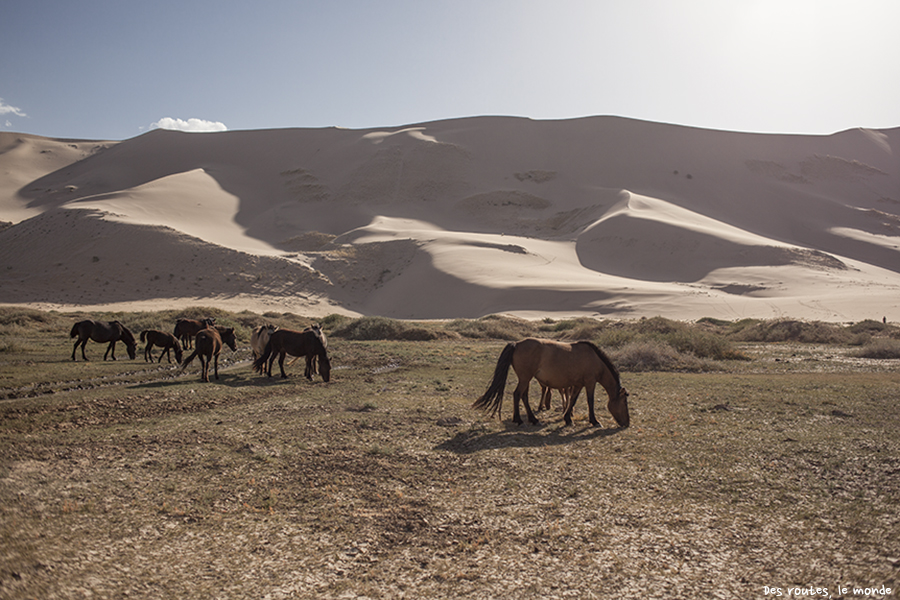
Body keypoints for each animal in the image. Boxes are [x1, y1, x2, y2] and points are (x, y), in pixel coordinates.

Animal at [474, 338, 628, 426]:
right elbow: (590, 401)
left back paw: (533, 419)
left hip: (526, 379)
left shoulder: (578, 384)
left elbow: (572, 400)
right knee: (517, 394)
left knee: (524, 396)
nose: (627, 423)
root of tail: (516, 344)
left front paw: (568, 418)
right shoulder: (590, 382)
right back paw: (518, 419)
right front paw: (594, 421)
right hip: (525, 378)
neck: (595, 360)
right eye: (624, 402)